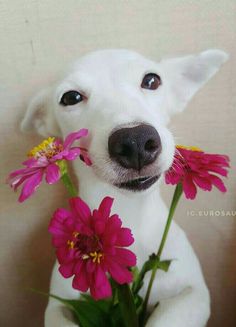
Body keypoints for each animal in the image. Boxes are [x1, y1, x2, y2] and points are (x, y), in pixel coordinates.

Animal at [21, 47, 228, 326]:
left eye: (152, 80)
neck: (129, 214)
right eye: (71, 97)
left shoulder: (194, 293)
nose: (135, 141)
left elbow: (168, 316)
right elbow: (60, 315)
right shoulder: (59, 305)